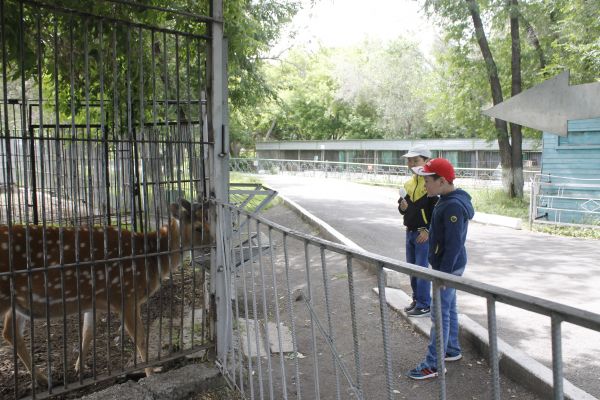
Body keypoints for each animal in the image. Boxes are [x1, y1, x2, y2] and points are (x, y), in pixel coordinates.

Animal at [0, 199, 211, 385]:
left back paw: (43, 379)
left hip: (18, 302)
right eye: (198, 227)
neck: (152, 260)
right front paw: (152, 372)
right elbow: (140, 338)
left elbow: (88, 332)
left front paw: (79, 367)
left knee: (10, 331)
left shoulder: (94, 301)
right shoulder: (126, 296)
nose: (213, 243)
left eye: (210, 222)